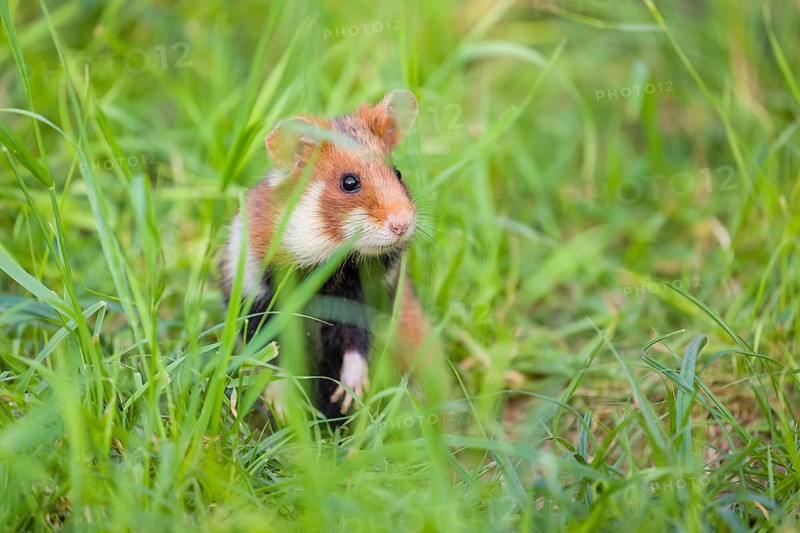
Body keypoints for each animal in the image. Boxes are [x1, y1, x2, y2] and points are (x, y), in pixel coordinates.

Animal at [220, 90, 432, 421]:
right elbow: (271, 356)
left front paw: (347, 395)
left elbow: (356, 344)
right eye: (349, 182)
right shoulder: (256, 299)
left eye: (398, 173)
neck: (331, 261)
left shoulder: (365, 299)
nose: (403, 224)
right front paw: (284, 408)